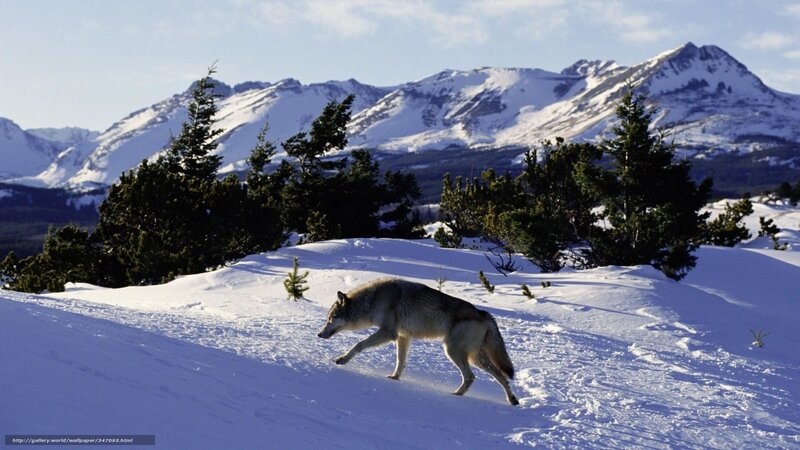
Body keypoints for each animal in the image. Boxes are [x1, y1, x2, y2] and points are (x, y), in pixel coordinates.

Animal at [317, 277, 519, 405]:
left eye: (331, 318)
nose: (319, 334)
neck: (374, 299)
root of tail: (484, 314)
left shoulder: (389, 332)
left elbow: (359, 344)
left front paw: (342, 359)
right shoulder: (402, 336)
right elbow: (400, 361)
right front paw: (395, 378)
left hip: (454, 352)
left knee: (471, 377)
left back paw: (456, 395)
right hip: (476, 358)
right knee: (501, 376)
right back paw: (512, 400)